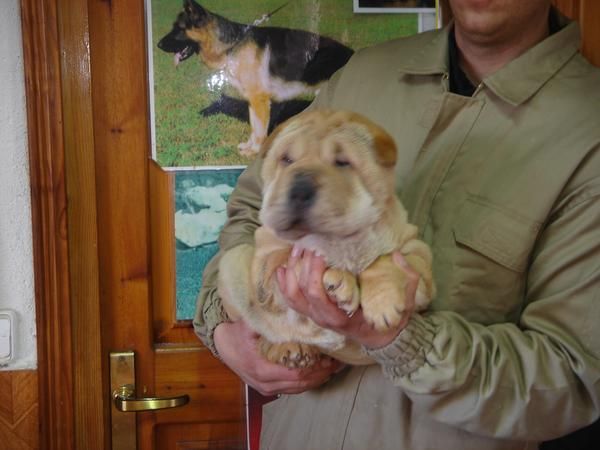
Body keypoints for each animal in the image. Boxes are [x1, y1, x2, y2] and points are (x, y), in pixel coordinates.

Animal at [157, 0, 354, 156]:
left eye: (179, 29)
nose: (157, 45)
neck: (232, 45)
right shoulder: (253, 101)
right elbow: (254, 128)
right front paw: (249, 148)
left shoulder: (260, 100)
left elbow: (259, 131)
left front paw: (255, 152)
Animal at [218, 110, 434, 368]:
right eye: (286, 159)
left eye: (342, 162)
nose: (300, 186)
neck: (340, 239)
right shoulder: (267, 265)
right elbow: (294, 258)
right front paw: (338, 281)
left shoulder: (416, 250)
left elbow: (387, 260)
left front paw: (383, 304)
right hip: (233, 264)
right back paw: (291, 349)